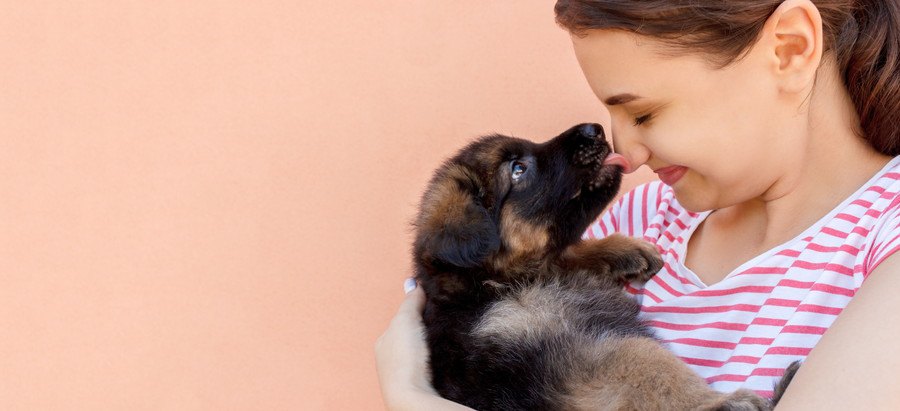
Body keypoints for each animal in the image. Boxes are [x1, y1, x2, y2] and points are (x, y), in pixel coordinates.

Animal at [414, 124, 780, 411]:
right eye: (518, 169)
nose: (595, 129)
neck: (492, 284)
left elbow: (569, 250)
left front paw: (624, 250)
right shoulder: (571, 349)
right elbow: (645, 361)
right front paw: (715, 402)